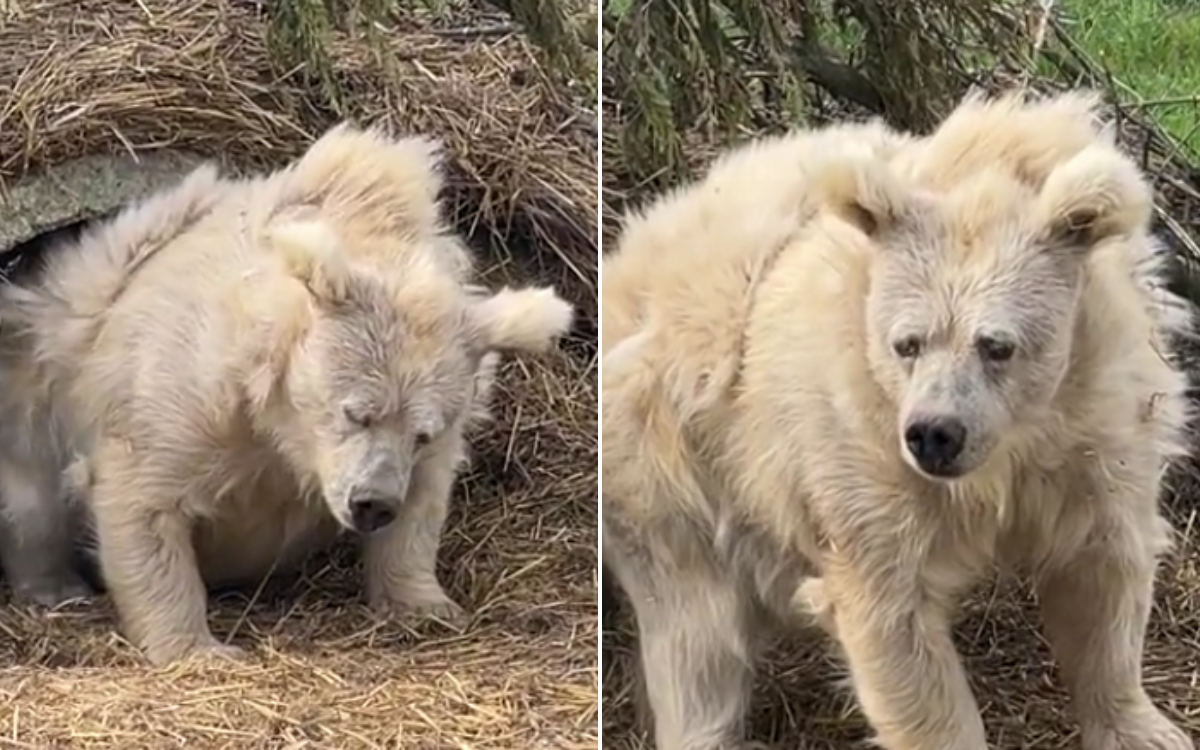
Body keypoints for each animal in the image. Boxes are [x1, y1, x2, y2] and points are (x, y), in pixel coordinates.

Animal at [0, 123, 575, 666]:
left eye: (422, 434)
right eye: (356, 412)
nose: (372, 504)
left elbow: (421, 506)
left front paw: (427, 605)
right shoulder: (190, 393)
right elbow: (144, 498)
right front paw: (199, 650)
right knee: (31, 508)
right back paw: (57, 587)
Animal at [601, 90, 1193, 750]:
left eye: (997, 345)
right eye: (906, 342)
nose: (935, 434)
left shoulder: (1101, 431)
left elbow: (1102, 578)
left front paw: (1144, 727)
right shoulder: (860, 458)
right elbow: (892, 625)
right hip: (670, 469)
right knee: (697, 642)